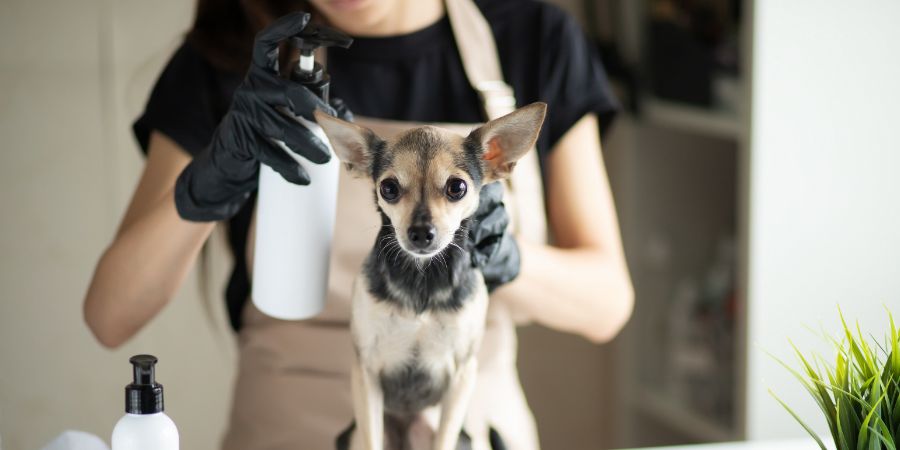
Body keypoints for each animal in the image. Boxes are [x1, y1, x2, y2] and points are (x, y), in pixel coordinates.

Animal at [312, 102, 544, 450]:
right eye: (389, 188)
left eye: (457, 187)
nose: (421, 232)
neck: (422, 278)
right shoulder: (365, 373)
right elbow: (371, 439)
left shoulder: (462, 377)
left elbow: (445, 439)